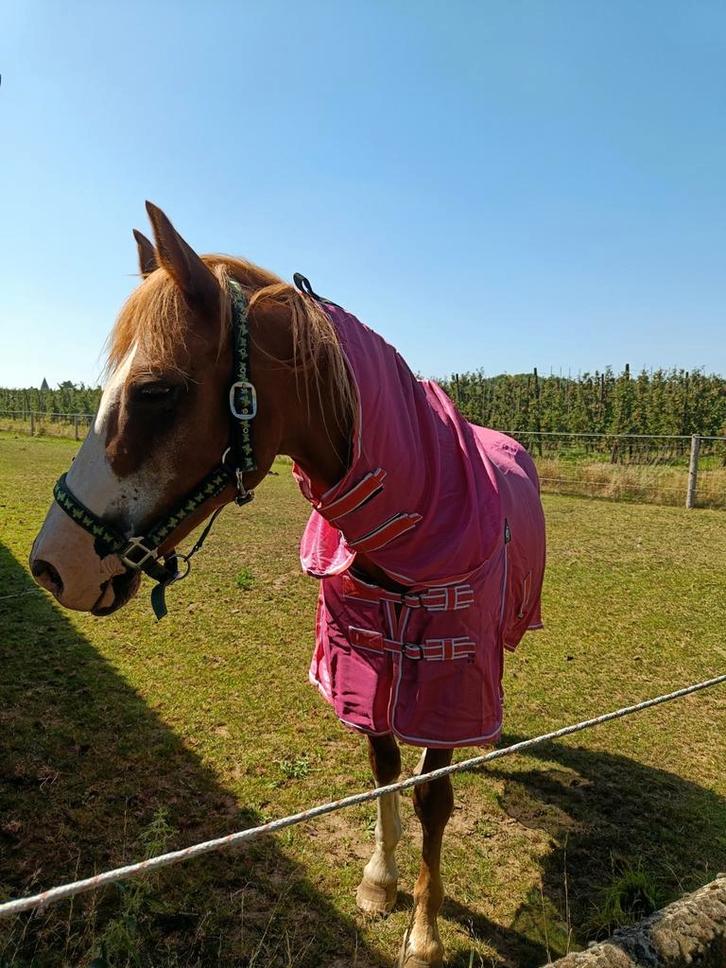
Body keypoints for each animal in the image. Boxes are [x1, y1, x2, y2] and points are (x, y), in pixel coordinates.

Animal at [30, 203, 546, 968]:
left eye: (155, 391)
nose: (50, 564)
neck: (409, 522)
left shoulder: (448, 668)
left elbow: (433, 797)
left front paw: (424, 933)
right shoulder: (363, 658)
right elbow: (384, 762)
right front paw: (379, 880)